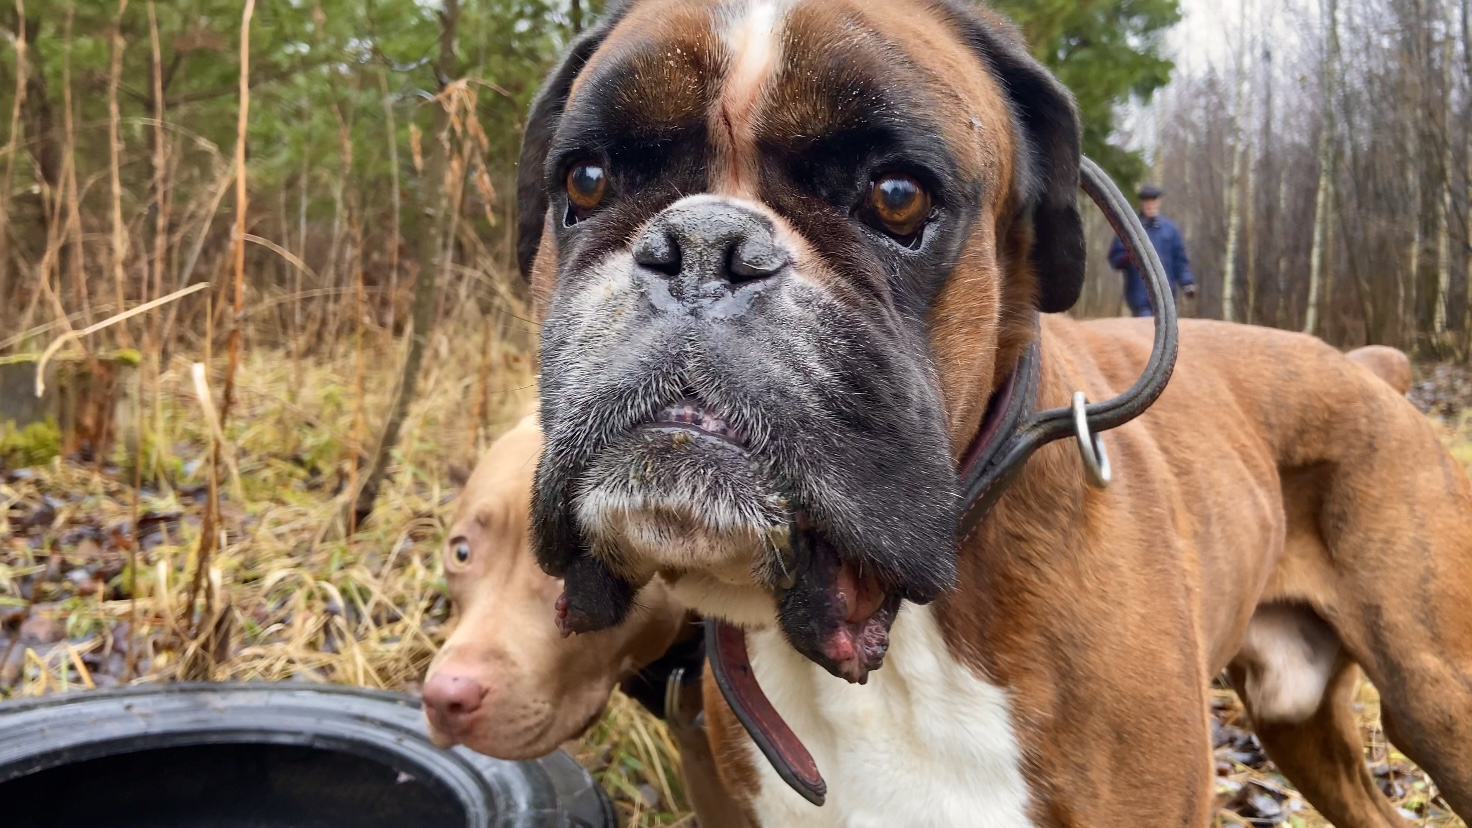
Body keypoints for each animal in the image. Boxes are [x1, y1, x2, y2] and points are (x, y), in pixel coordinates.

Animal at [515, 1, 1472, 819]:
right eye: (588, 181)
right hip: (1299, 722)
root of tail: (1369, 368)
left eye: (896, 196)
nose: (704, 245)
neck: (904, 635)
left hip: (1439, 701)